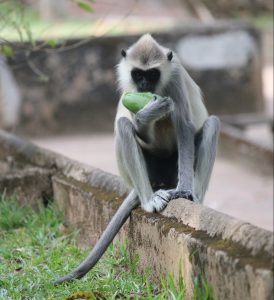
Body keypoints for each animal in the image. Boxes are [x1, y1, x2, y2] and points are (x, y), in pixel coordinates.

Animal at [54, 34, 220, 284]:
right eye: (138, 74)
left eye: (152, 75)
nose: (144, 86)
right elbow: (139, 123)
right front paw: (148, 112)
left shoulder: (176, 75)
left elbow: (184, 126)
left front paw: (184, 189)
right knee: (123, 126)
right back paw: (149, 200)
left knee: (211, 124)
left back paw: (193, 197)